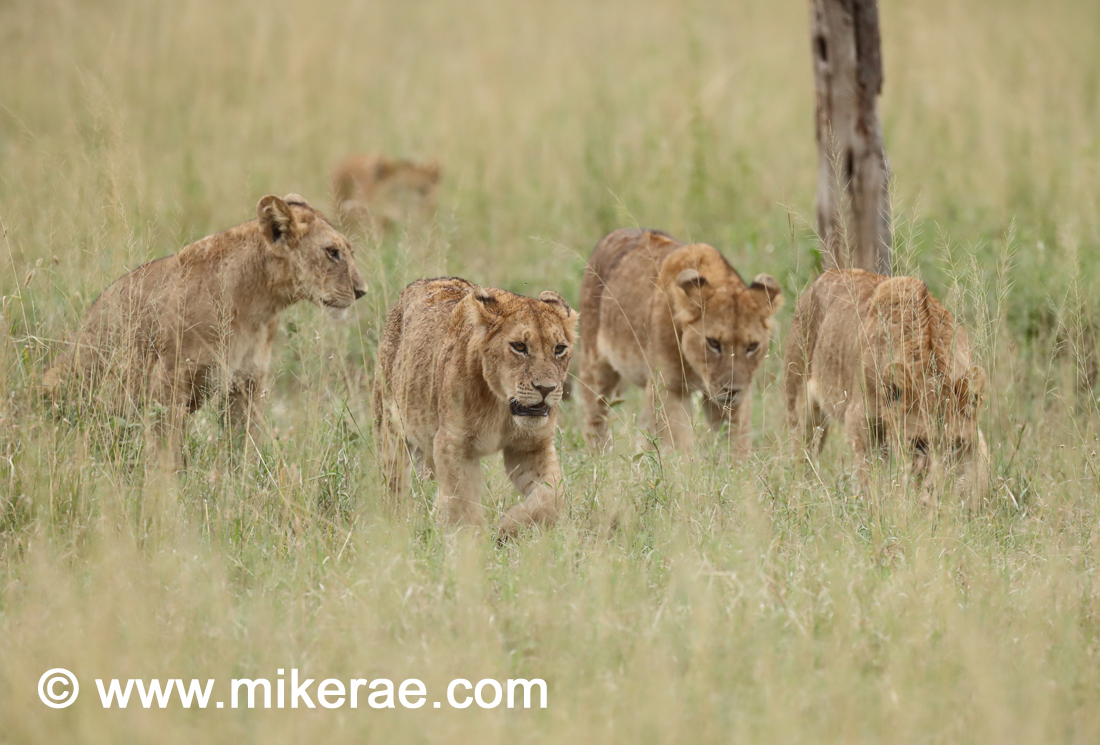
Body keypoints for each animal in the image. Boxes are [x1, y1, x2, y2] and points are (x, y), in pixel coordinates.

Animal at [43, 194, 366, 461]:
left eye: (350, 251)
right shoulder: (169, 377)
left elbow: (242, 444)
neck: (258, 308)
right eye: (332, 252)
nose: (362, 291)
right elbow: (167, 445)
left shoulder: (247, 381)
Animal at [373, 277, 578, 537]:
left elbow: (552, 498)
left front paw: (508, 527)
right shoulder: (454, 443)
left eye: (559, 348)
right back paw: (398, 522)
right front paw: (473, 542)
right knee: (395, 481)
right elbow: (463, 503)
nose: (546, 389)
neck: (502, 408)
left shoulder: (532, 446)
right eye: (519, 346)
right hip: (390, 425)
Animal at [579, 228, 782, 454]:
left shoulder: (738, 396)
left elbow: (738, 441)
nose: (731, 390)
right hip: (595, 367)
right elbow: (680, 441)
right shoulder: (669, 388)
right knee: (595, 417)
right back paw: (597, 456)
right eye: (713, 343)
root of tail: (614, 233)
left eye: (752, 346)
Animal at [783, 268, 989, 507]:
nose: (935, 491)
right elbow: (871, 476)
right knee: (802, 457)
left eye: (955, 444)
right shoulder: (860, 419)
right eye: (918, 444)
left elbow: (976, 472)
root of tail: (830, 272)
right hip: (800, 406)